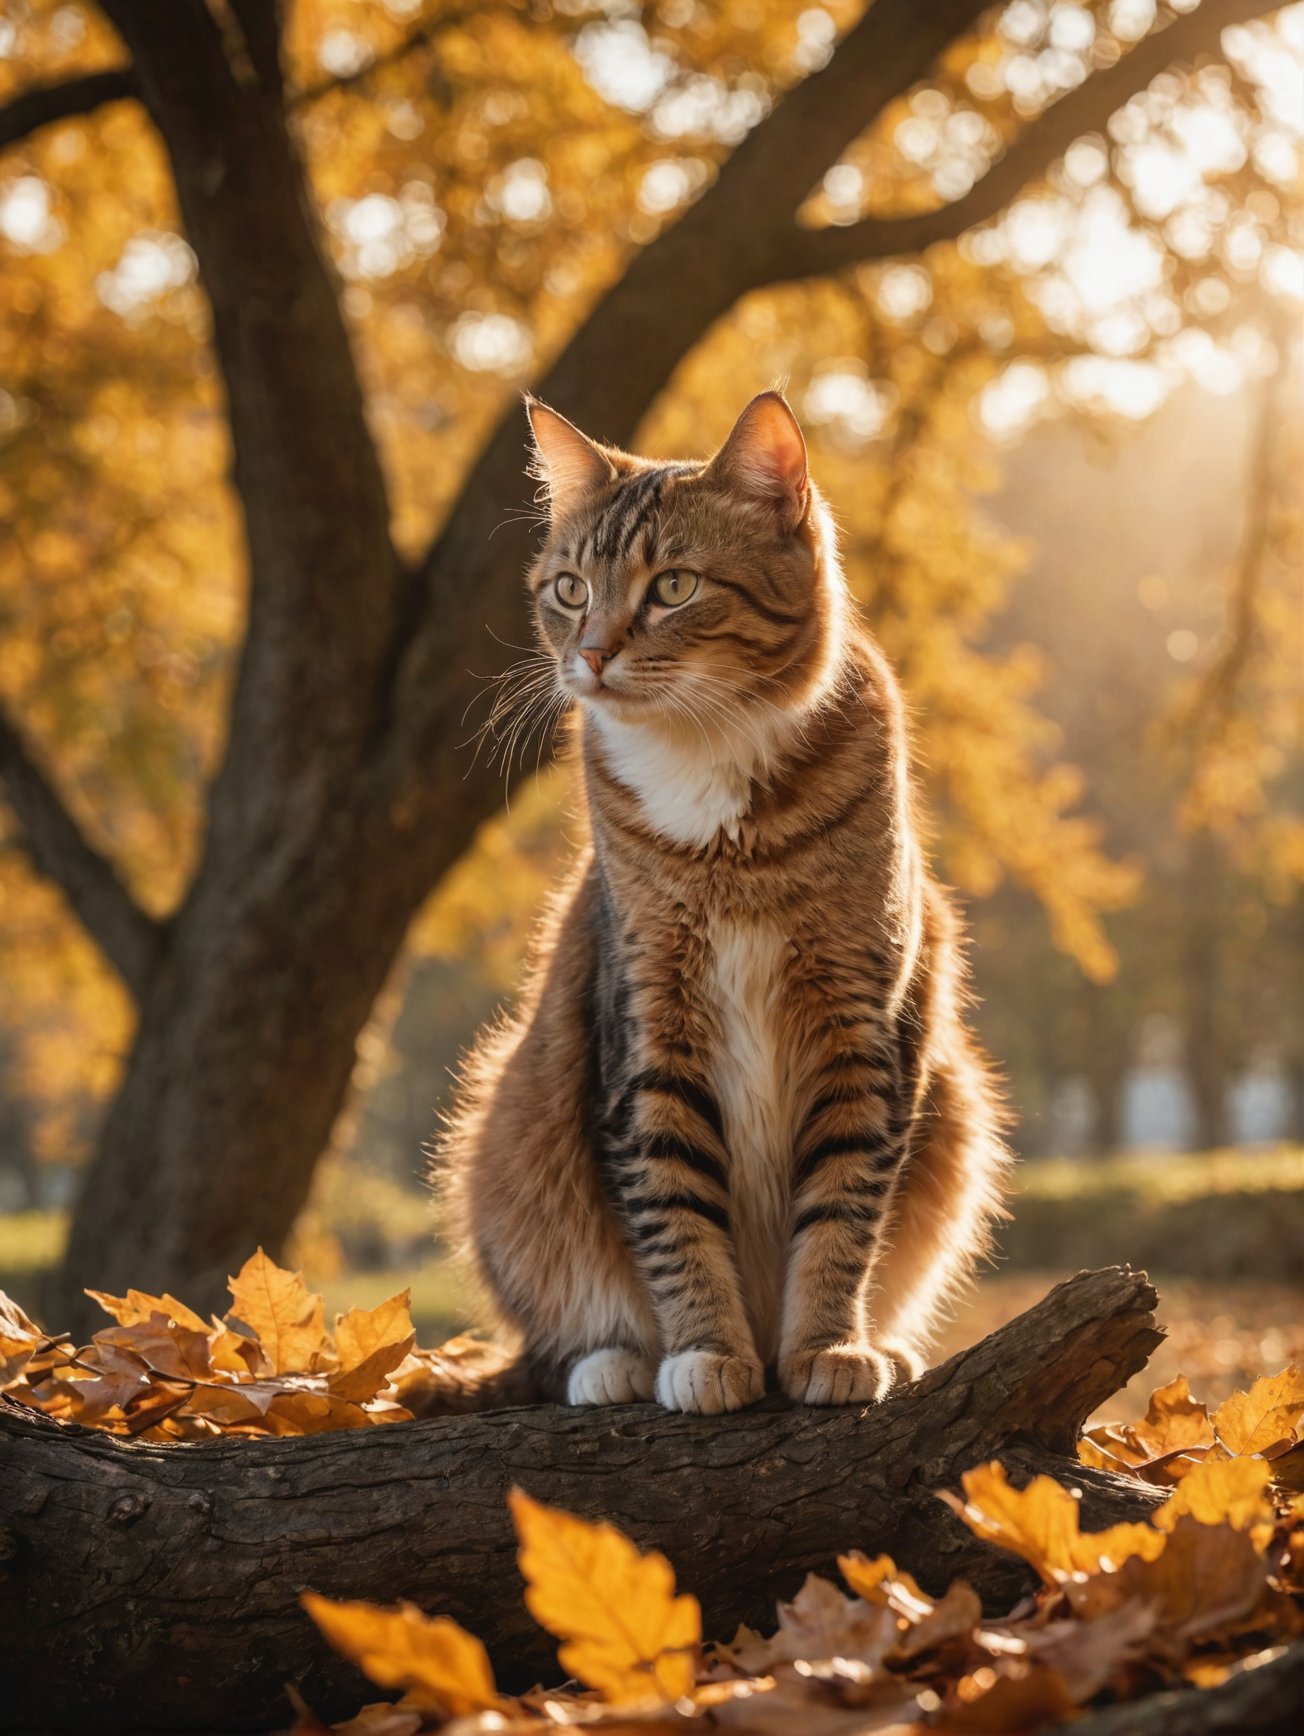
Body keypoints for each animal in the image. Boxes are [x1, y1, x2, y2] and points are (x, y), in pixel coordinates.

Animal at [435, 390, 1007, 1409]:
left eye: (673, 587)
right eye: (570, 589)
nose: (591, 654)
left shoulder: (861, 1023)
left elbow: (843, 1207)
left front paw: (828, 1344)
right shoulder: (650, 1024)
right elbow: (672, 1208)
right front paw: (704, 1352)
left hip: (956, 1105)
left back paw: (885, 1344)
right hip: (507, 1127)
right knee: (549, 1334)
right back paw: (613, 1361)